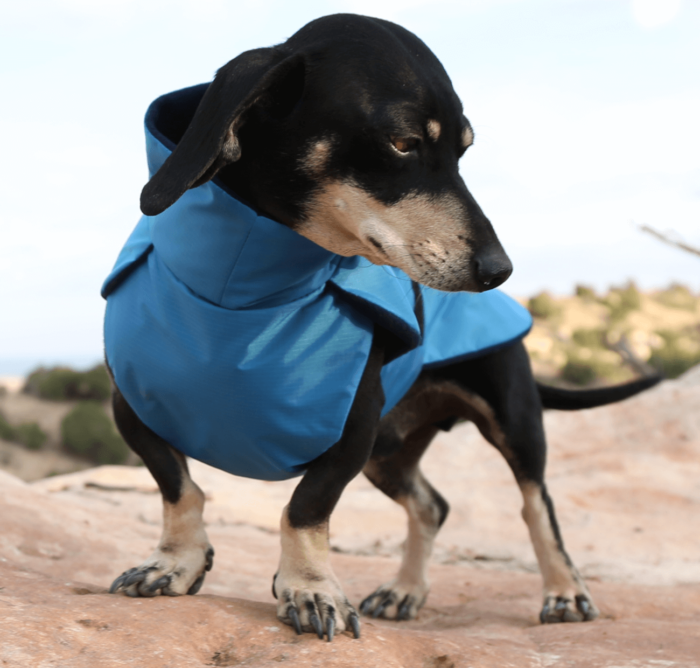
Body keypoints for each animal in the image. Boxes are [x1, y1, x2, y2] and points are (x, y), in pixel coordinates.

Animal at [101, 14, 660, 640]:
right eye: (403, 142)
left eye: (464, 150)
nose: (499, 270)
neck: (241, 293)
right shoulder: (134, 411)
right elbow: (180, 489)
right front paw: (175, 562)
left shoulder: (351, 430)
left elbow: (304, 509)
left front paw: (310, 589)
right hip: (389, 454)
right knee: (432, 505)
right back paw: (405, 591)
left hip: (511, 419)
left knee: (536, 503)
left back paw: (564, 591)